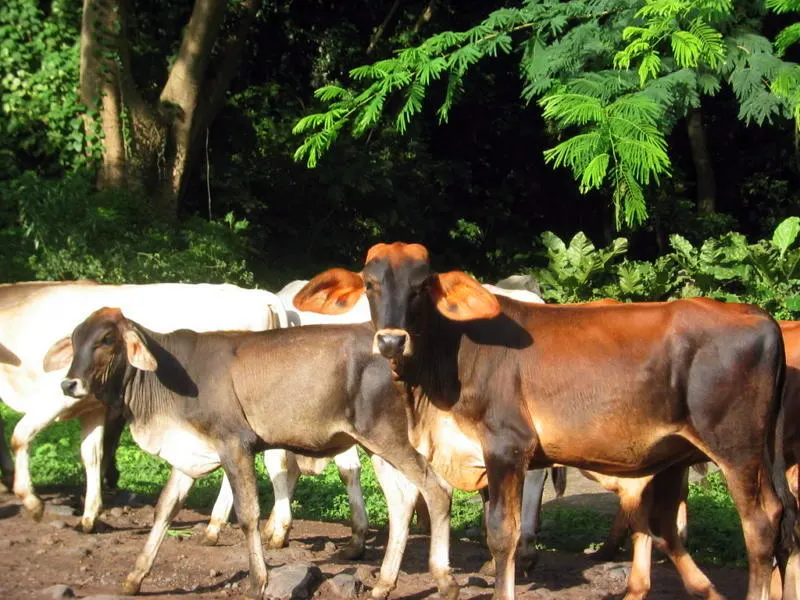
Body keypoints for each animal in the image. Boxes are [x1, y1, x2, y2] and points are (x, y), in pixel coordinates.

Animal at [0, 280, 286, 532]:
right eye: (72, 339)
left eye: (106, 340)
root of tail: (261, 296)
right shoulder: (92, 407)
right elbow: (92, 455)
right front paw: (89, 516)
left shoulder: (57, 398)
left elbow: (19, 436)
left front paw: (32, 502)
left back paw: (218, 527)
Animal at [47, 307, 457, 600]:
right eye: (75, 338)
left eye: (105, 339)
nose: (70, 383)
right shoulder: (190, 451)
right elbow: (164, 509)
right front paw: (135, 576)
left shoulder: (235, 442)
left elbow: (248, 515)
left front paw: (258, 580)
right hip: (377, 446)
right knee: (402, 503)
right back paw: (384, 583)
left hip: (390, 436)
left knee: (437, 490)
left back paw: (444, 579)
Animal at [294, 242, 796, 600]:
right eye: (370, 284)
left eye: (422, 286)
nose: (391, 341)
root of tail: (762, 318)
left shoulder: (506, 446)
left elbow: (502, 533)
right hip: (701, 455)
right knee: (749, 518)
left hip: (736, 449)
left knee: (760, 526)